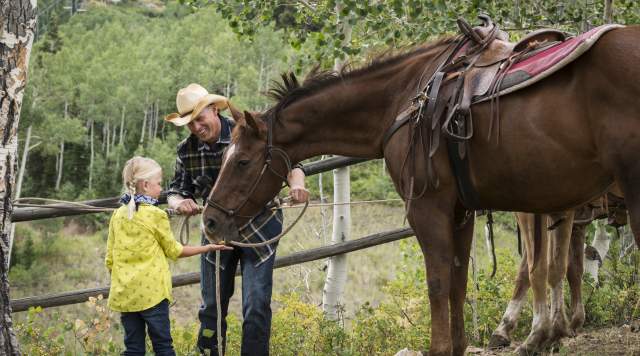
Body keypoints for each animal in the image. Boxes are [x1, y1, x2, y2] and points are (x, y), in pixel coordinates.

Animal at [202, 25, 640, 356]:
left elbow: (438, 282)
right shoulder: (462, 211)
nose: (210, 221)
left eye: (242, 162)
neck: (403, 99)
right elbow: (459, 282)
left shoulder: (428, 209)